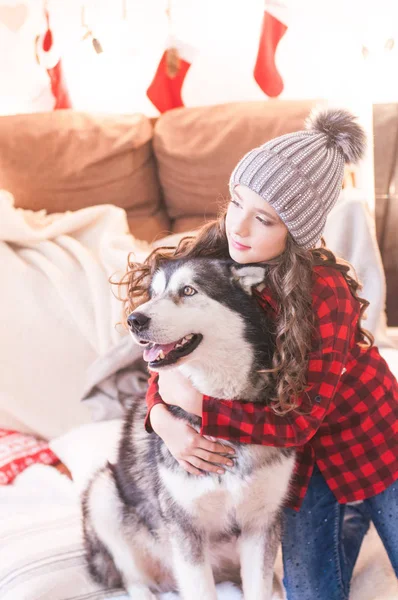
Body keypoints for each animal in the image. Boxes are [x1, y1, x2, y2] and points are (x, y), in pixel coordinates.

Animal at [82, 258, 296, 600]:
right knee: (134, 580)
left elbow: (259, 587)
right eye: (153, 294)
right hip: (103, 495)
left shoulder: (260, 524)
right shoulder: (185, 529)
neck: (219, 407)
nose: (134, 320)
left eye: (188, 291)